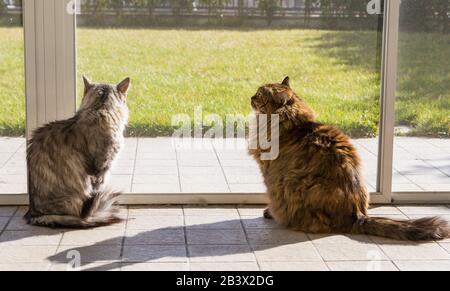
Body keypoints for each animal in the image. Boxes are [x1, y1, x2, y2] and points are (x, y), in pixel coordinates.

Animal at [250, 77, 450, 242]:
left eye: (259, 95)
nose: (251, 97)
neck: (295, 124)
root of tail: (357, 215)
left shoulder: (268, 172)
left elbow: (269, 196)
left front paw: (268, 212)